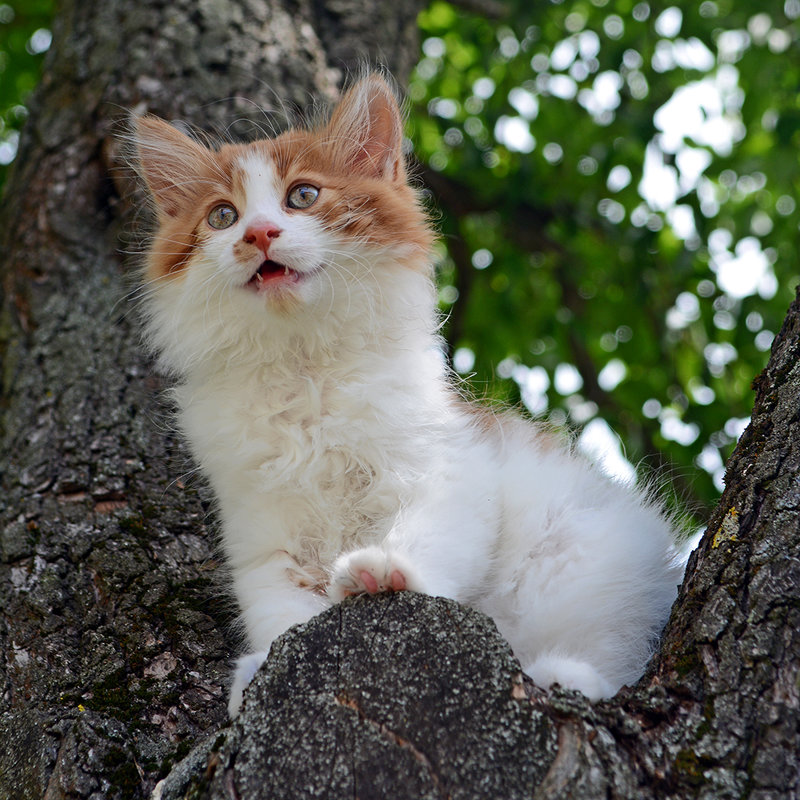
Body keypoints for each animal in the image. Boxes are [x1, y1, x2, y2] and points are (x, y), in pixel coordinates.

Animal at [130, 72, 680, 716]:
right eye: (222, 215)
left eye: (302, 196)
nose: (258, 233)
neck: (304, 370)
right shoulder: (266, 538)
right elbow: (283, 616)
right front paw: (262, 672)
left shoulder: (446, 471)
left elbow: (430, 537)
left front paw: (389, 571)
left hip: (587, 558)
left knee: (610, 652)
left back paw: (565, 676)